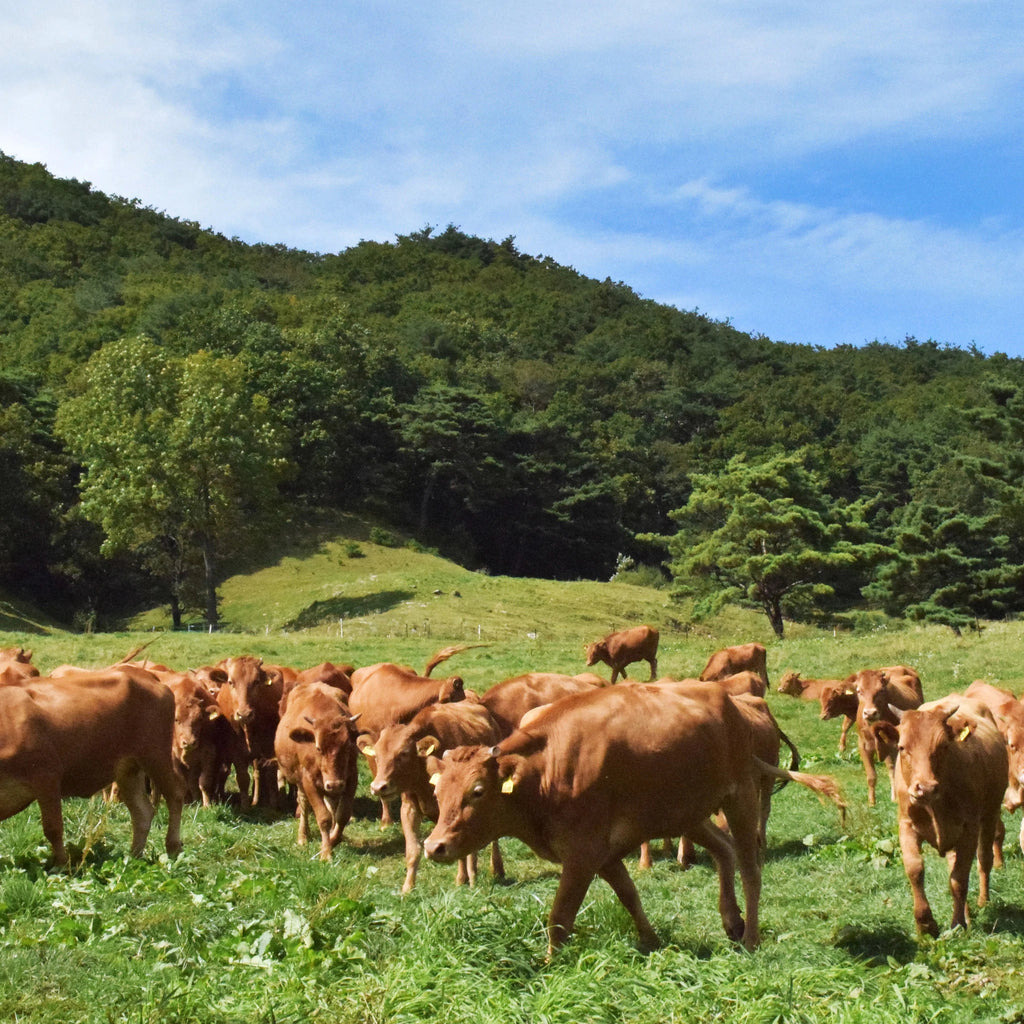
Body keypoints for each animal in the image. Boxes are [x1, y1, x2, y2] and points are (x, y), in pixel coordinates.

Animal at [0, 663, 182, 864]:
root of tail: (144, 674)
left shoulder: (47, 775)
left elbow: (53, 828)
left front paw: (62, 865)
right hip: (127, 769)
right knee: (142, 812)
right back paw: (133, 857)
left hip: (156, 755)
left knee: (175, 797)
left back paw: (173, 848)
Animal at [274, 684, 362, 860]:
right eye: (318, 748)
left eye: (348, 746)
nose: (334, 784)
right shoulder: (309, 782)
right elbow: (323, 817)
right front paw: (326, 853)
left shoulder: (351, 779)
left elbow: (343, 814)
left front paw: (334, 839)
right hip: (301, 782)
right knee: (304, 804)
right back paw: (303, 836)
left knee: (333, 805)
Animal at [358, 700, 505, 892]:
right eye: (376, 755)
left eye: (403, 753)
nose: (378, 786)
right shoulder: (409, 808)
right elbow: (413, 850)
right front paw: (407, 888)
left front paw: (471, 880)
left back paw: (497, 869)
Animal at [417, 684, 839, 954]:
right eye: (437, 791)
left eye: (477, 792)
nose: (434, 846)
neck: (546, 767)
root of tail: (731, 702)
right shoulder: (602, 854)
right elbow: (629, 895)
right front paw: (651, 940)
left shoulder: (583, 855)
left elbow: (560, 916)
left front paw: (549, 965)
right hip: (687, 812)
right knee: (724, 851)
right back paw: (731, 921)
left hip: (741, 798)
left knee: (750, 867)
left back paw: (750, 937)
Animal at [872, 696, 1007, 937]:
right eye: (902, 747)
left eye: (943, 746)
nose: (925, 788)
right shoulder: (906, 825)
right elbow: (915, 869)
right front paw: (926, 924)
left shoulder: (969, 829)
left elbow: (960, 878)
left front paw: (957, 924)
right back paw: (967, 913)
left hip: (990, 813)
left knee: (984, 858)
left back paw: (982, 902)